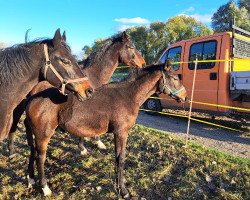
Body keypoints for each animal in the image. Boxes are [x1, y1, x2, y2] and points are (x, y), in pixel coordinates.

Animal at [25, 61, 187, 198]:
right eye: (174, 78)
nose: (185, 97)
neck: (128, 96)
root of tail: (32, 98)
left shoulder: (118, 134)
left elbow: (117, 158)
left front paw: (119, 184)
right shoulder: (121, 133)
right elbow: (121, 159)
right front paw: (124, 191)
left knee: (32, 151)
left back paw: (31, 179)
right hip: (43, 135)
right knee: (40, 158)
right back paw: (45, 188)